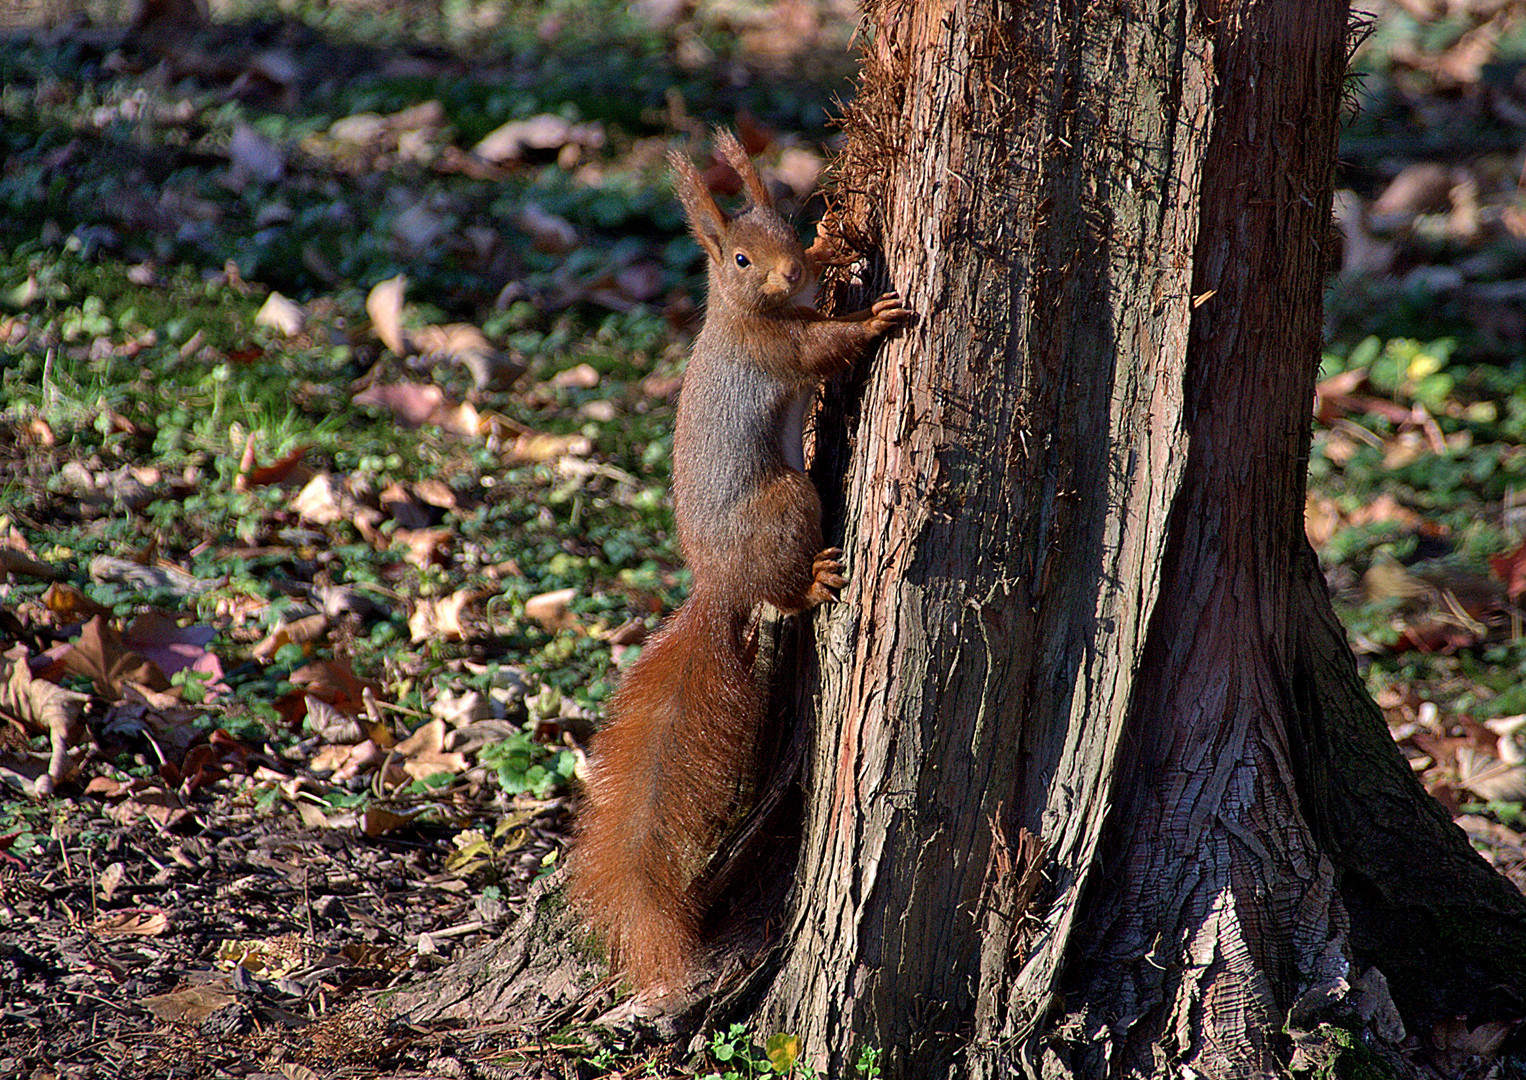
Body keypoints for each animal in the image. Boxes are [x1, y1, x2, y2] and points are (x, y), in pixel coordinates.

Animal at [570, 130, 903, 988]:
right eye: (742, 259)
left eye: (785, 226)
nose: (789, 271)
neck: (748, 308)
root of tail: (719, 584)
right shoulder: (778, 350)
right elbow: (822, 347)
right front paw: (874, 315)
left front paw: (834, 246)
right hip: (788, 500)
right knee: (781, 593)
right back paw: (813, 582)